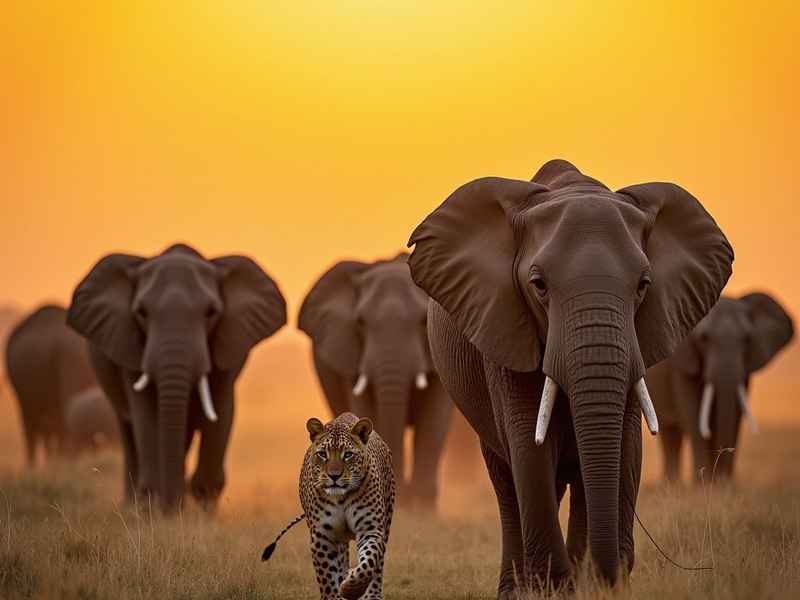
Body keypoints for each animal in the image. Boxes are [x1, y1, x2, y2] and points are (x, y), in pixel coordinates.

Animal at [67, 243, 287, 513]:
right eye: (141, 312)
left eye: (211, 312)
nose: (171, 509)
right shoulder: (129, 346)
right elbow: (146, 413)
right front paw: (158, 513)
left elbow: (221, 412)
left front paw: (204, 516)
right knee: (130, 433)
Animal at [298, 253, 453, 510]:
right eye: (360, 322)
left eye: (424, 321)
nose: (401, 498)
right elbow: (364, 409)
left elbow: (433, 421)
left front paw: (422, 511)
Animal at [407, 160, 733, 592]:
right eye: (538, 285)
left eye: (643, 285)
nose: (612, 572)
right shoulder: (505, 326)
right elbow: (529, 448)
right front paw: (557, 585)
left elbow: (624, 446)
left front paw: (591, 584)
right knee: (506, 481)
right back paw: (517, 589)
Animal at [647, 293, 793, 482]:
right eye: (704, 338)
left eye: (747, 339)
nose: (722, 479)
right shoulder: (682, 365)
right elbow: (694, 417)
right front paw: (700, 485)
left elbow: (735, 417)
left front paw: (723, 485)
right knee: (670, 434)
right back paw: (672, 484)